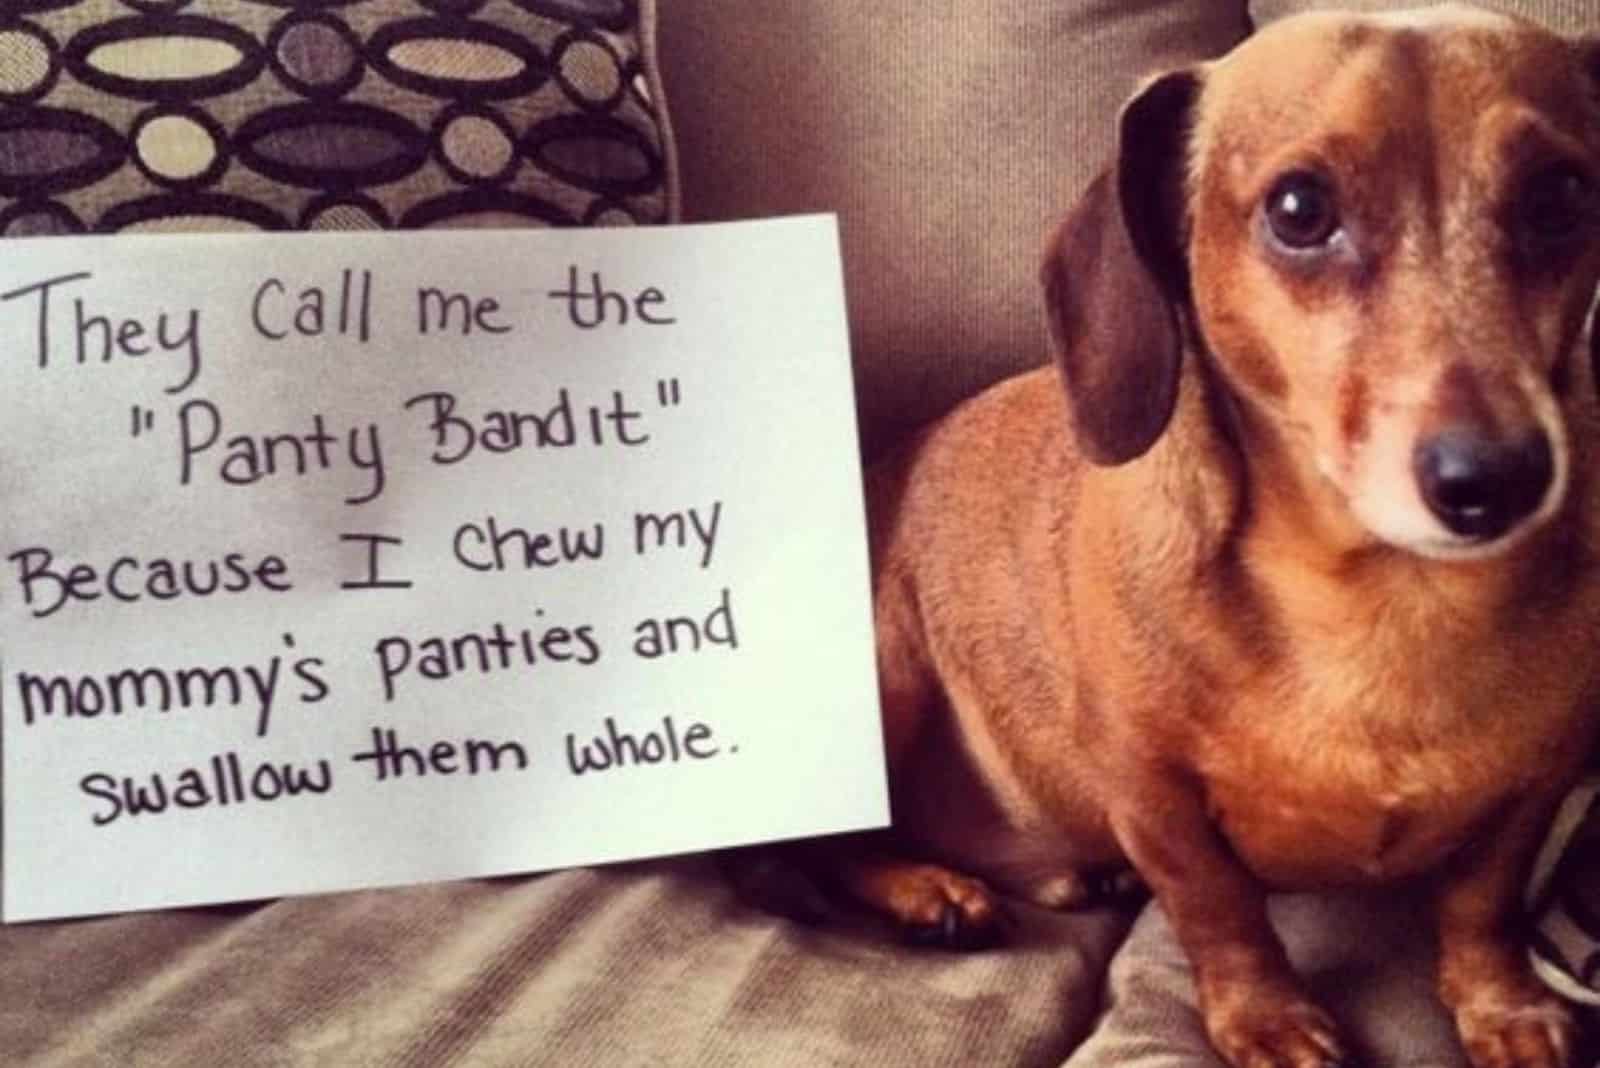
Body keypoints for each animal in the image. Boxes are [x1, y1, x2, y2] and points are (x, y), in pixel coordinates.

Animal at [752, 8, 1600, 1068]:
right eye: (1298, 208)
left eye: (1561, 195)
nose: (1499, 479)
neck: (1382, 602)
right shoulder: (1150, 789)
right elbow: (1219, 907)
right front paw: (1267, 1018)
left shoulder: (1533, 791)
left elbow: (1482, 907)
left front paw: (1506, 1008)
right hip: (884, 670)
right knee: (802, 848)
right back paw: (928, 892)